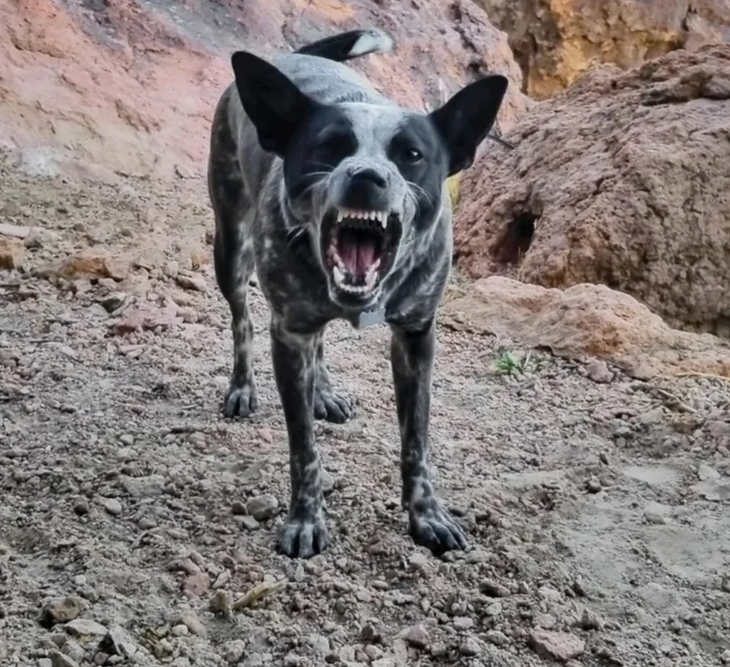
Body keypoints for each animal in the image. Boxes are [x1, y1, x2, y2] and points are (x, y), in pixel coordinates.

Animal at [208, 28, 510, 560]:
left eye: (412, 155)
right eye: (329, 147)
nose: (367, 176)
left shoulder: (416, 338)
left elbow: (417, 441)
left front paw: (427, 516)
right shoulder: (288, 333)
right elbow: (304, 448)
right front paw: (305, 519)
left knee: (319, 345)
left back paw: (324, 391)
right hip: (231, 248)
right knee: (241, 318)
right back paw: (243, 386)